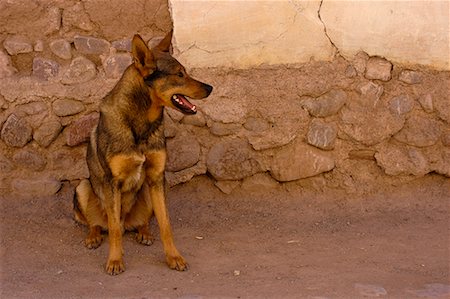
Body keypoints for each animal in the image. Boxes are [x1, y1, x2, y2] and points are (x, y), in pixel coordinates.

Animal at [73, 31, 213, 276]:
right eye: (180, 74)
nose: (210, 88)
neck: (141, 123)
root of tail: (127, 222)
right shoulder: (112, 181)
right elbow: (114, 231)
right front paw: (115, 261)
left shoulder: (157, 177)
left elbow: (166, 224)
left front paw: (174, 257)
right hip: (82, 187)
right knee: (99, 224)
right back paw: (93, 237)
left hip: (148, 190)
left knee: (142, 222)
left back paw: (144, 233)